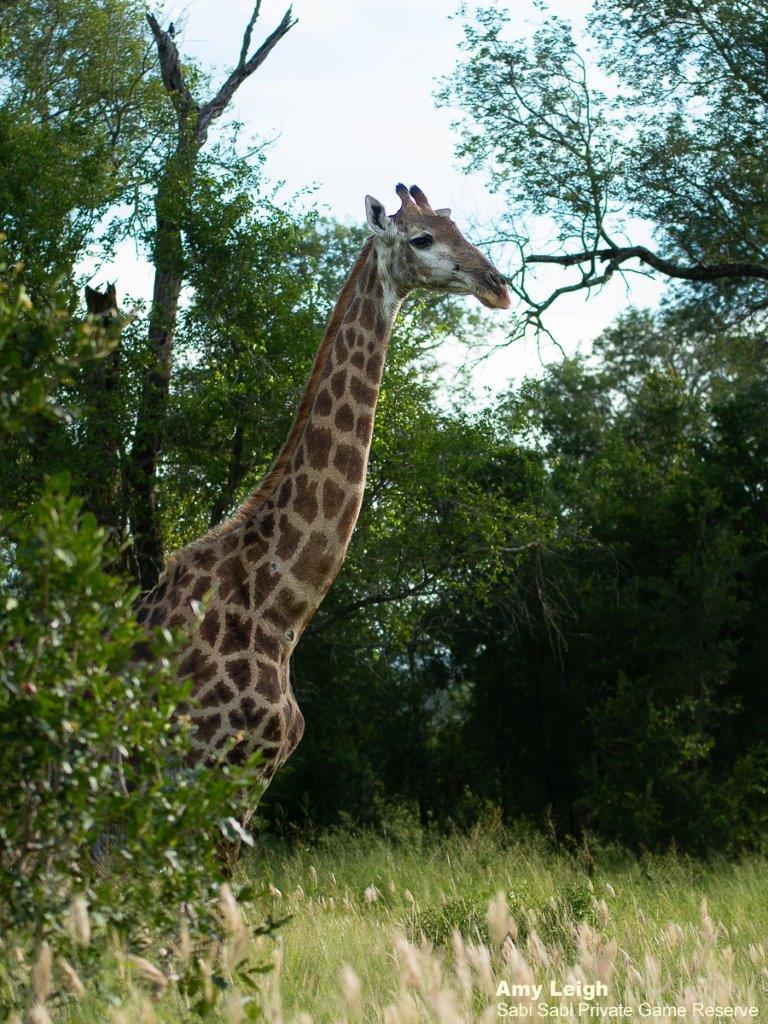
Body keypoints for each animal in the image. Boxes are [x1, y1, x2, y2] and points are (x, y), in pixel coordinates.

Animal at [133, 183, 510, 789]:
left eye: (461, 231)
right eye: (421, 238)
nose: (497, 285)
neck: (278, 610)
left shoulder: (253, 777)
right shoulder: (203, 769)